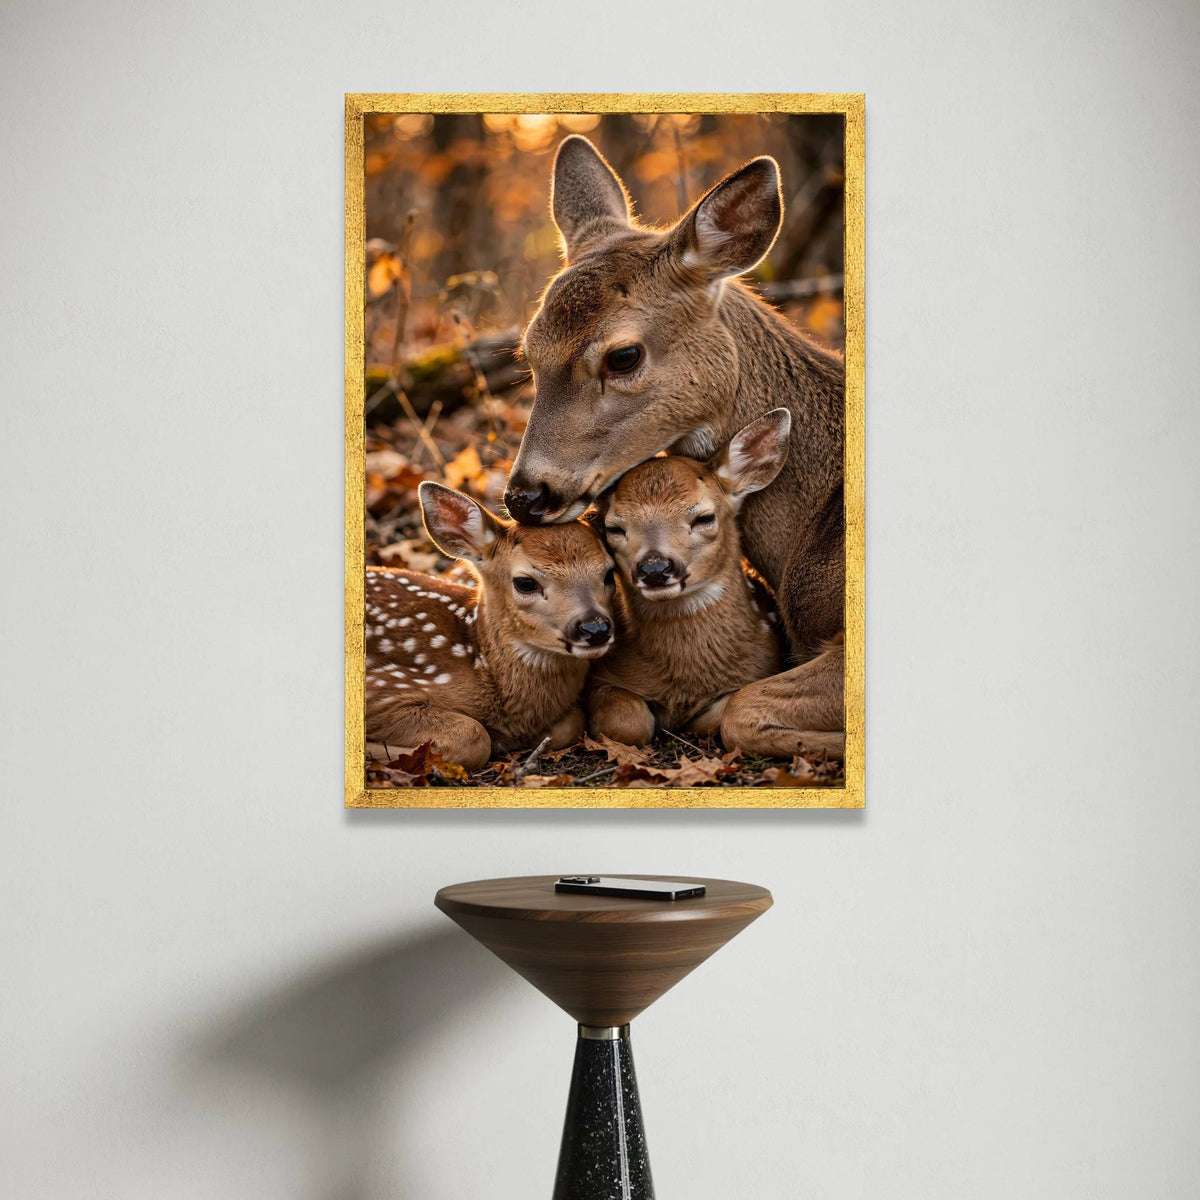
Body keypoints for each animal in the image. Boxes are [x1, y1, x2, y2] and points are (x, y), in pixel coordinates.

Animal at [364, 481, 615, 770]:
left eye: (610, 573)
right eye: (525, 583)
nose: (595, 628)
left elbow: (572, 722)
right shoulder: (383, 686)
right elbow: (473, 736)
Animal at [587, 410, 790, 747]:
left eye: (704, 518)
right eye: (613, 528)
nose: (654, 569)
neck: (686, 682)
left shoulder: (760, 669)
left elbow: (719, 714)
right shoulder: (602, 677)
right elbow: (630, 722)